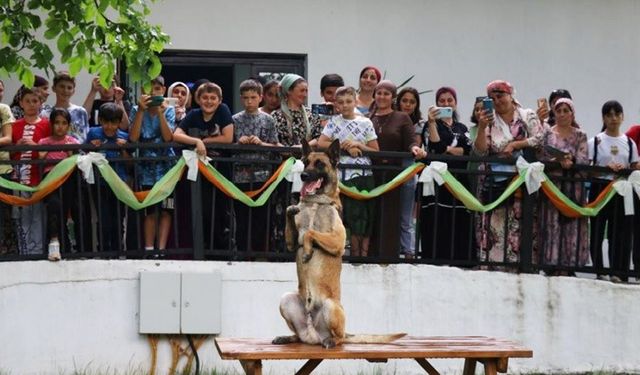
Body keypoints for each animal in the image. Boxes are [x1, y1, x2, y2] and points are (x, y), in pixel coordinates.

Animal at [272, 140, 404, 350]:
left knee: (340, 337)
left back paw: (332, 341)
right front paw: (292, 209)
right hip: (286, 299)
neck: (316, 202)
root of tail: (315, 335)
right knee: (299, 336)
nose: (304, 176)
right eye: (306, 162)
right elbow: (290, 215)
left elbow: (310, 233)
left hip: (330, 306)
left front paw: (307, 251)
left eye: (319, 164)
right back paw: (288, 338)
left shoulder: (338, 241)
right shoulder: (291, 242)